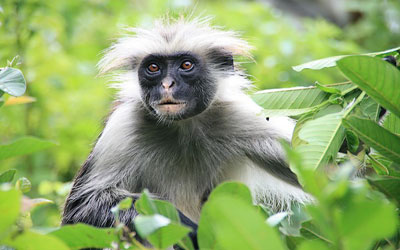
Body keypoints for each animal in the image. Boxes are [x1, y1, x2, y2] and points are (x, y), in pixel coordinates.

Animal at [62, 17, 312, 248]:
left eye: (186, 65)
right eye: (153, 68)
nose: (167, 85)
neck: (182, 127)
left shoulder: (240, 116)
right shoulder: (124, 125)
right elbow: (82, 209)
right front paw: (191, 232)